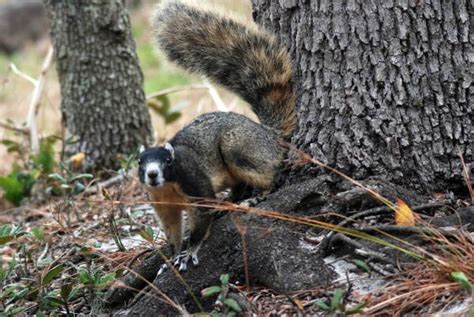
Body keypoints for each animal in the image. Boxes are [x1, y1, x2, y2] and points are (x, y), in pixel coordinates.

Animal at [137, 0, 298, 268]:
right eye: (140, 163)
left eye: (169, 161)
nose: (151, 174)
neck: (167, 188)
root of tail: (269, 133)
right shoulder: (163, 205)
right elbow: (172, 232)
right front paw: (172, 256)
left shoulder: (196, 186)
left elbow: (201, 222)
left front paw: (190, 251)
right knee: (239, 186)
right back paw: (230, 202)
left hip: (239, 147)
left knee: (269, 176)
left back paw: (255, 197)